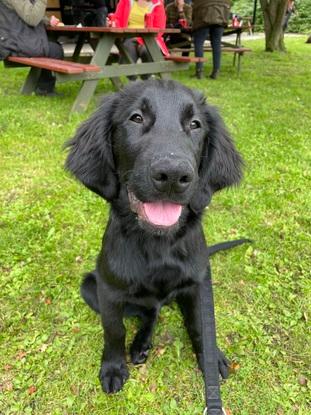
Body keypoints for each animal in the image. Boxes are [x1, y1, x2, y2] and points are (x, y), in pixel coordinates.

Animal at [66, 79, 245, 394]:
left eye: (195, 124)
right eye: (136, 118)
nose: (173, 175)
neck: (159, 243)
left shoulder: (198, 285)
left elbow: (200, 325)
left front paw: (211, 358)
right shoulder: (108, 291)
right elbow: (114, 330)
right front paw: (113, 367)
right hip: (90, 286)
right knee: (148, 312)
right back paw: (140, 344)